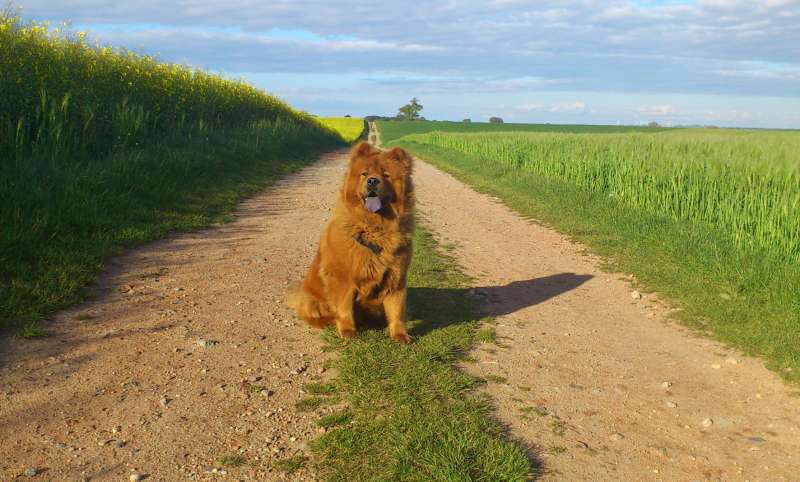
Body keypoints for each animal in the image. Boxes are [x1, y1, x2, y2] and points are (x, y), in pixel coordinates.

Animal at [288, 141, 416, 340]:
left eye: (386, 175)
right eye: (364, 174)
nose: (373, 181)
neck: (375, 227)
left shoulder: (396, 276)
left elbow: (397, 309)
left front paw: (400, 335)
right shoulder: (342, 278)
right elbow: (344, 307)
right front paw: (348, 331)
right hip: (312, 301)